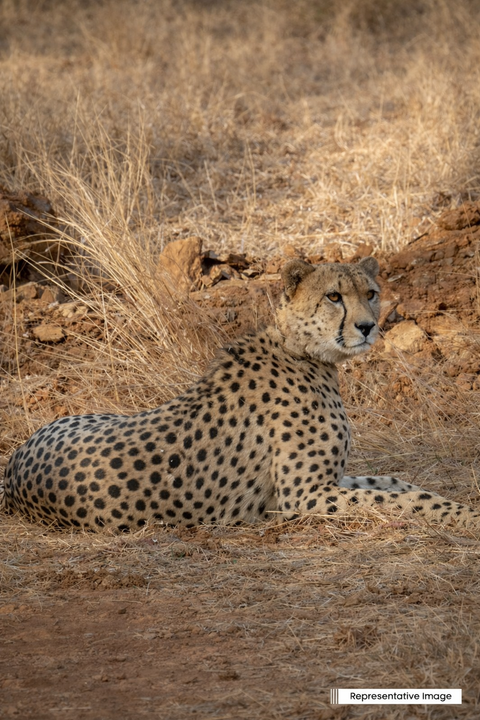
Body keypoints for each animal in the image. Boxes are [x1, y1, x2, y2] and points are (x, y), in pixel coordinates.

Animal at [1, 256, 479, 531]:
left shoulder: (329, 480)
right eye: (333, 297)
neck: (302, 351)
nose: (367, 327)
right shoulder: (303, 495)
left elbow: (398, 484)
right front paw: (466, 516)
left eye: (372, 293)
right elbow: (400, 500)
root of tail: (15, 466)